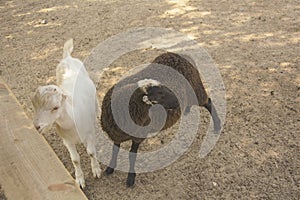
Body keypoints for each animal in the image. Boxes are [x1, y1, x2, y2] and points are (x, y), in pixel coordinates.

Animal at [31, 38, 102, 188]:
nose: (37, 126)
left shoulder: (90, 132)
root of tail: (67, 57)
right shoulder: (67, 140)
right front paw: (80, 180)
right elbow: (75, 159)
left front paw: (96, 170)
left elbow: (91, 152)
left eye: (55, 107)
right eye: (34, 107)